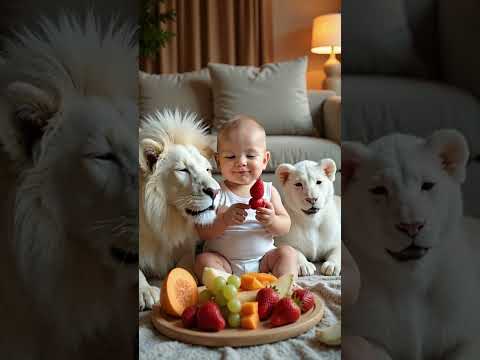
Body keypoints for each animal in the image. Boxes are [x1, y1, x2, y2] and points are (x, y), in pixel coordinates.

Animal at [139, 109, 219, 310]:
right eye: (183, 170)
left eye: (207, 170)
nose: (216, 191)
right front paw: (145, 292)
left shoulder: (186, 247)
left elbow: (184, 265)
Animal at [342, 130, 480, 360]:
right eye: (379, 190)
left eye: (427, 185)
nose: (412, 226)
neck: (410, 284)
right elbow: (356, 344)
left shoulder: (470, 337)